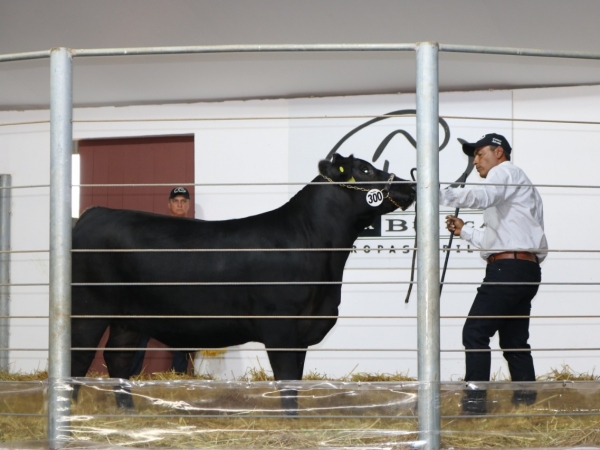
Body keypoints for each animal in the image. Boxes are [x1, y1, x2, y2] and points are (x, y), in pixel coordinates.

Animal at [70, 154, 414, 408]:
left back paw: (126, 410)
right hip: (89, 307)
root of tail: (94, 213)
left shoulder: (302, 329)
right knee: (80, 355)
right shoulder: (281, 328)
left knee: (117, 357)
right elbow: (287, 382)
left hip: (128, 318)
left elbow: (295, 380)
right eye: (365, 169)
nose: (409, 187)